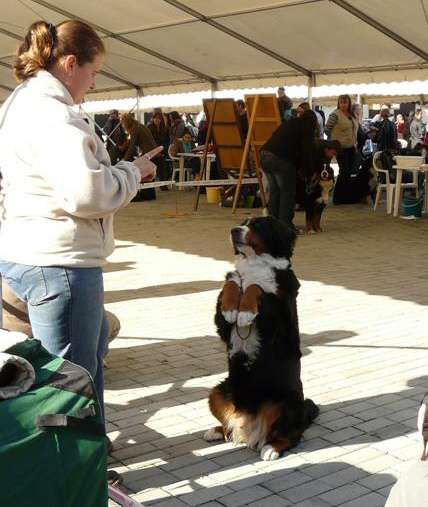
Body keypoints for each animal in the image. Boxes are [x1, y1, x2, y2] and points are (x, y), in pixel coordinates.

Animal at [204, 216, 318, 462]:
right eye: (242, 222)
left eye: (258, 225)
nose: (233, 230)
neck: (255, 264)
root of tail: (250, 428)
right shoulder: (223, 327)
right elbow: (232, 281)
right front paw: (231, 308)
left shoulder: (278, 320)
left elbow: (256, 287)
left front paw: (245, 312)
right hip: (219, 392)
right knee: (228, 428)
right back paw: (216, 431)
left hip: (286, 402)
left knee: (290, 435)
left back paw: (271, 448)